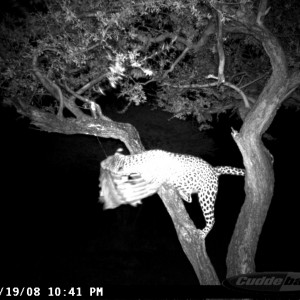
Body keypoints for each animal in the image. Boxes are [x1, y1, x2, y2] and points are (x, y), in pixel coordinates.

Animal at [102, 149, 245, 238]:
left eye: (108, 162)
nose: (102, 163)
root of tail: (214, 169)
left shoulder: (154, 178)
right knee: (189, 198)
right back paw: (181, 192)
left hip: (206, 196)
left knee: (212, 219)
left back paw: (203, 233)